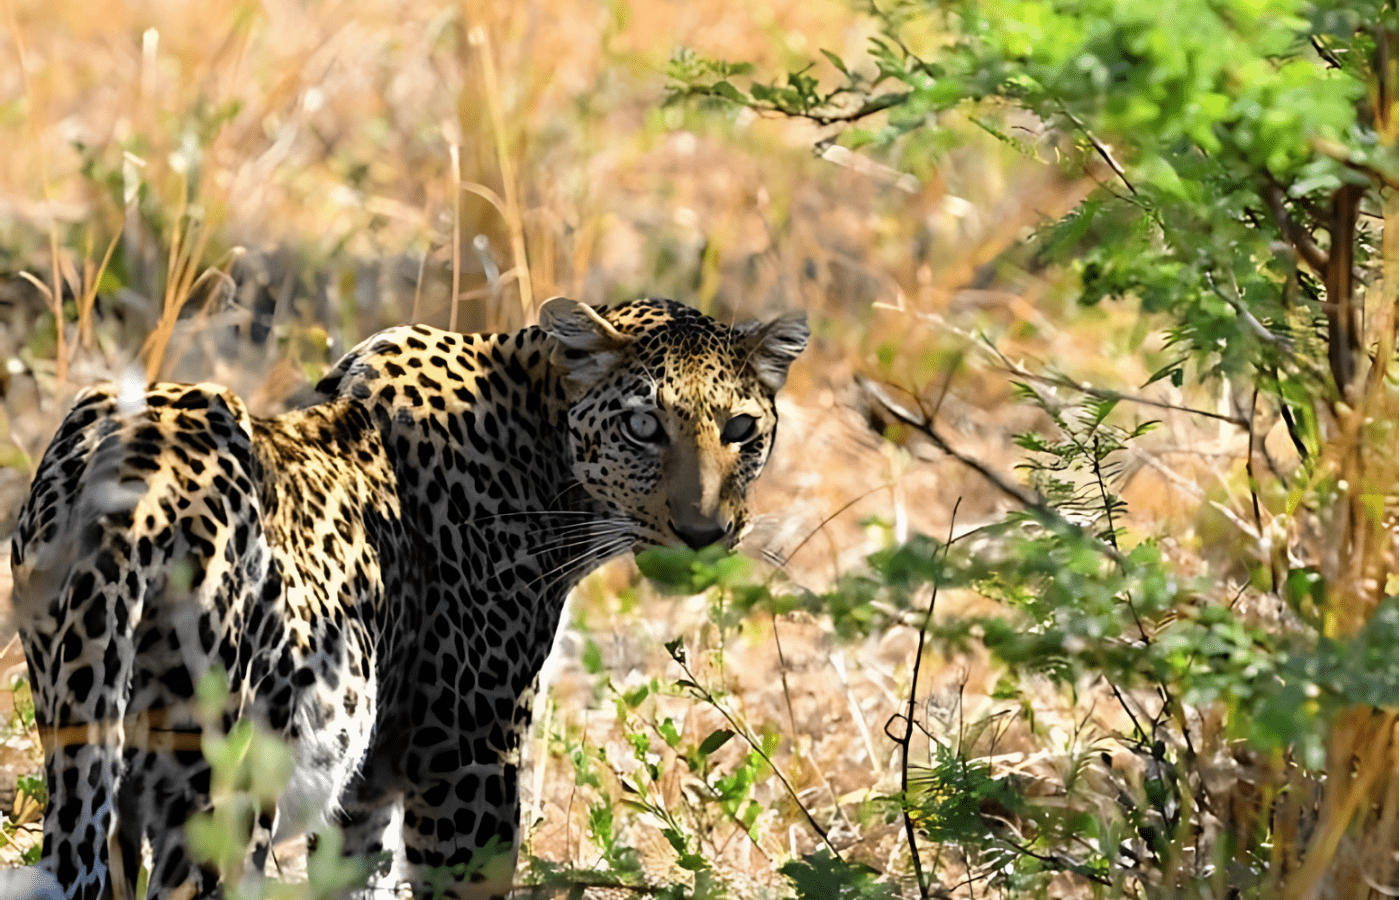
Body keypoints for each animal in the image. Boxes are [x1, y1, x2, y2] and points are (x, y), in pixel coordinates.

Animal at [8, 296, 808, 900]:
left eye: (741, 429)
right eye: (644, 426)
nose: (703, 533)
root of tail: (134, 475)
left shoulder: (365, 788)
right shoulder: (468, 759)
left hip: (91, 739)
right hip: (220, 786)